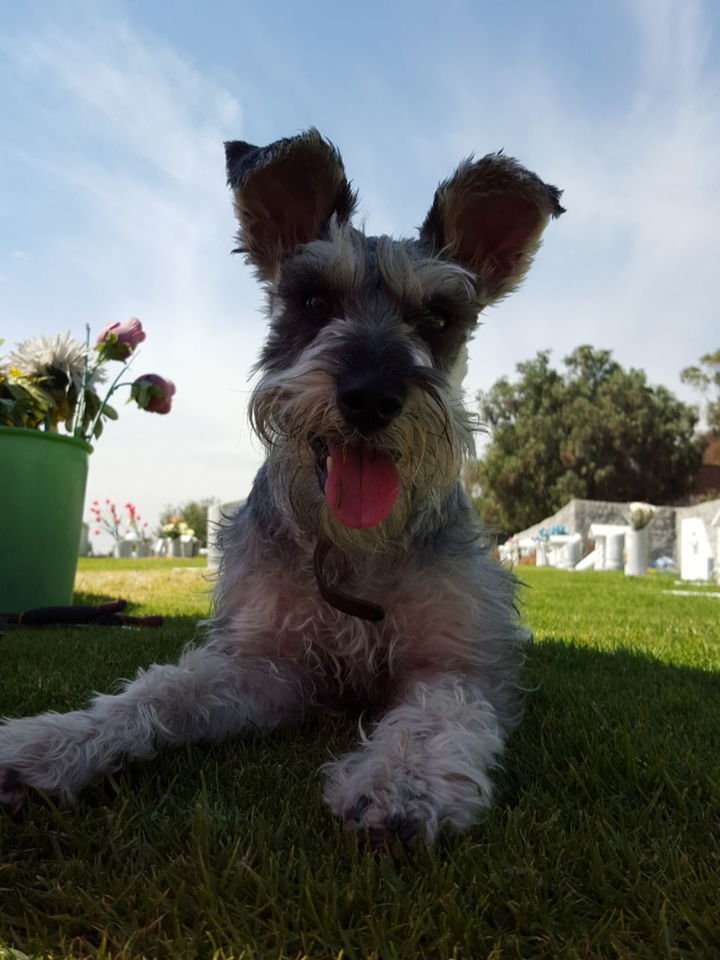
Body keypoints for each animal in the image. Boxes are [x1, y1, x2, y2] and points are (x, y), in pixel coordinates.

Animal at [0, 127, 564, 848]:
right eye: (314, 300)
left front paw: (401, 785)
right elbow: (159, 691)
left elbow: (440, 714)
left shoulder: (455, 660)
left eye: (438, 317)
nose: (370, 396)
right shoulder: (264, 665)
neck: (351, 550)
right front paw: (48, 742)